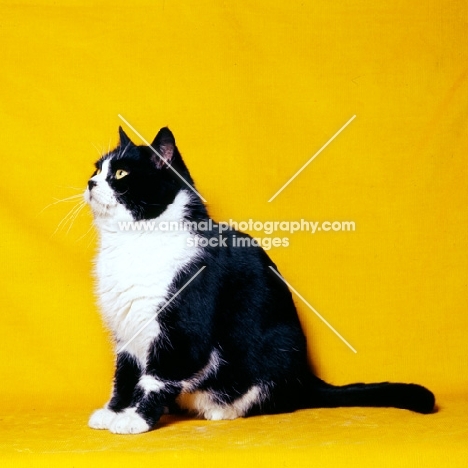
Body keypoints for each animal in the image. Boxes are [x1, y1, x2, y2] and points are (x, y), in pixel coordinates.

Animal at [85, 126, 436, 434]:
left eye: (120, 174)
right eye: (97, 168)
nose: (89, 182)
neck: (131, 243)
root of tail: (307, 377)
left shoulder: (183, 329)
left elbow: (157, 377)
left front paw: (136, 420)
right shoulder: (125, 328)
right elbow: (126, 373)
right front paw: (114, 412)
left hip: (275, 350)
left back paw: (222, 409)